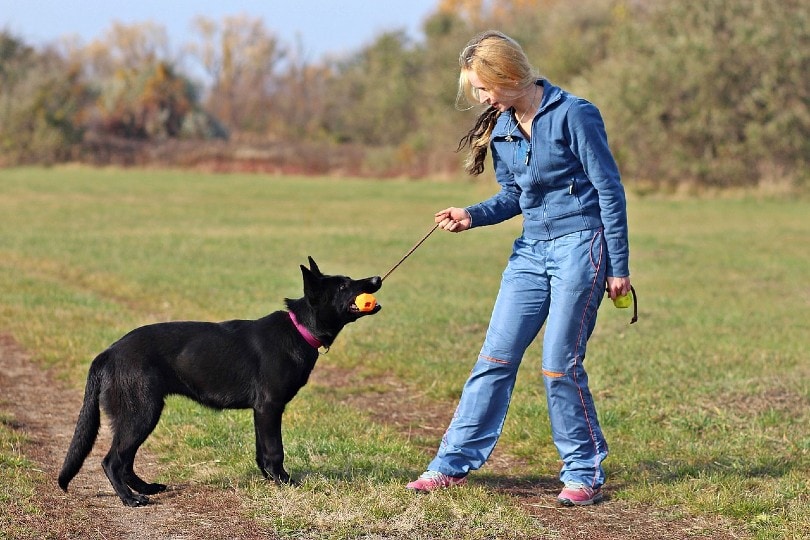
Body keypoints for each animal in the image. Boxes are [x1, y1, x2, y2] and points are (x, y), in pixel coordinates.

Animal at [58, 258, 380, 506]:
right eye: (343, 286)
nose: (377, 278)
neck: (299, 328)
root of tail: (109, 352)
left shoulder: (260, 412)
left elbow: (262, 452)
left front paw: (269, 480)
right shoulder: (270, 407)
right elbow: (275, 450)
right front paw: (285, 483)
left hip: (141, 415)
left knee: (125, 461)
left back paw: (146, 488)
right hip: (141, 414)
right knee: (112, 461)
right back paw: (130, 498)